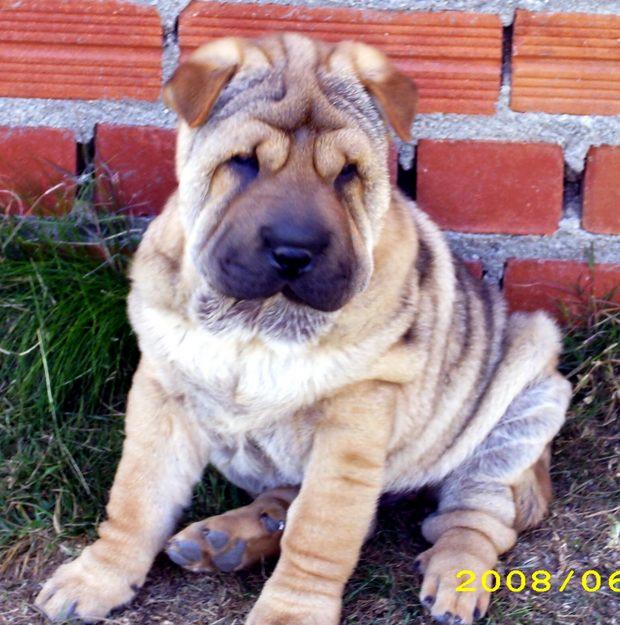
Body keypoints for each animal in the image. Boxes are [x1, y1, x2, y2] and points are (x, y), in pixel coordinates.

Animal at [37, 33, 572, 624]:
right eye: (243, 164)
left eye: (347, 174)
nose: (294, 251)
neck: (254, 324)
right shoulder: (163, 393)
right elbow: (137, 495)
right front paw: (97, 576)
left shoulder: (353, 422)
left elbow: (319, 531)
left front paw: (291, 612)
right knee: (286, 498)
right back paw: (227, 538)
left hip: (524, 395)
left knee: (474, 517)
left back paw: (457, 576)